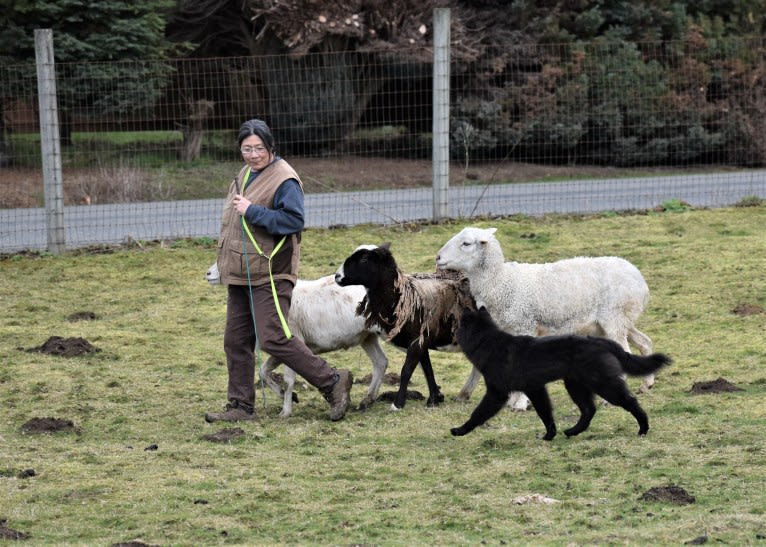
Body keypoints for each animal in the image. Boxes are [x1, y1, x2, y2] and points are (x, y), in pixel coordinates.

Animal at [206, 260, 390, 418]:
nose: (207, 273)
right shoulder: (281, 348)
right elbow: (263, 372)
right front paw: (286, 396)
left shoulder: (292, 339)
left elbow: (288, 380)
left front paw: (285, 412)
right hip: (367, 337)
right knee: (381, 362)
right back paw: (367, 401)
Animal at [334, 245, 476, 412]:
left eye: (364, 259)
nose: (337, 276)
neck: (400, 297)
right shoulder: (421, 342)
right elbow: (427, 369)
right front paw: (434, 399)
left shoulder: (417, 341)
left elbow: (406, 371)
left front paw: (398, 404)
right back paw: (464, 395)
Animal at [436, 225, 656, 408]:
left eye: (466, 243)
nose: (438, 257)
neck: (501, 282)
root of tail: (639, 279)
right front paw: (515, 400)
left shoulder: (525, 324)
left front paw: (520, 403)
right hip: (616, 320)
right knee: (644, 342)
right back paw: (647, 384)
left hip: (614, 316)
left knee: (625, 349)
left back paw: (611, 399)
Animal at [452, 308, 676, 440]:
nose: (452, 335)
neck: (487, 341)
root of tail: (601, 342)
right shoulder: (535, 389)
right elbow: (545, 413)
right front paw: (550, 434)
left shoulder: (497, 393)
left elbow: (479, 413)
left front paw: (460, 430)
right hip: (576, 385)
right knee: (589, 410)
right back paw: (573, 431)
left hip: (604, 384)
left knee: (629, 401)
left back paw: (643, 428)